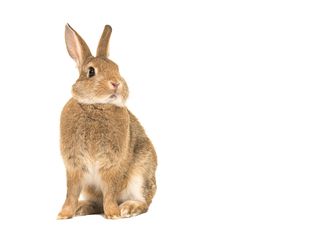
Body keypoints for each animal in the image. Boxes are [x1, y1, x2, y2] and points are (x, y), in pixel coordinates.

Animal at [57, 24, 158, 219]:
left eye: (117, 68)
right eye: (91, 71)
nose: (116, 83)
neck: (95, 106)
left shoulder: (112, 163)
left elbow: (110, 191)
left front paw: (113, 214)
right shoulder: (74, 165)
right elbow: (71, 192)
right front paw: (64, 214)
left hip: (141, 174)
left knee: (143, 202)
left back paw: (128, 208)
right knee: (96, 203)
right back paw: (82, 207)